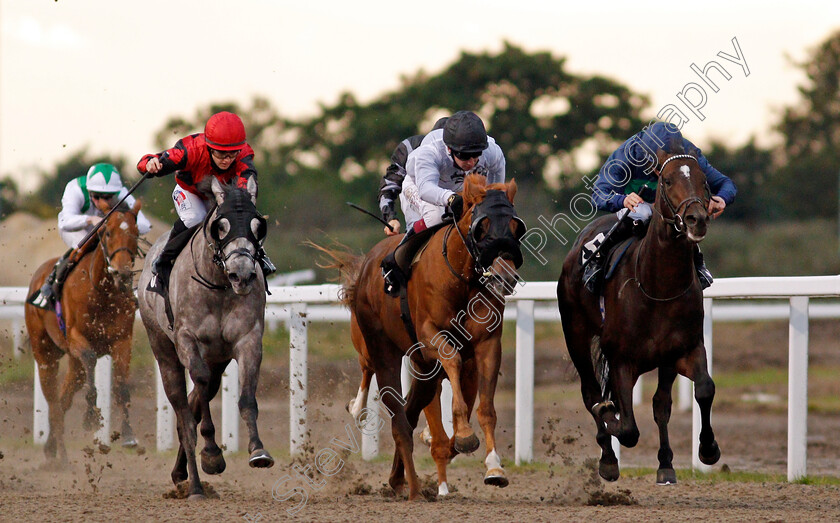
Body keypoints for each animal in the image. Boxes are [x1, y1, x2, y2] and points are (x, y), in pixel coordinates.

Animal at [24, 199, 143, 460]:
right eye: (107, 232)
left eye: (136, 233)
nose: (122, 273)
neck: (101, 293)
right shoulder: (77, 339)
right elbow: (90, 363)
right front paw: (90, 418)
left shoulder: (123, 341)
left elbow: (122, 387)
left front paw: (129, 435)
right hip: (45, 353)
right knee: (54, 401)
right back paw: (61, 458)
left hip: (72, 362)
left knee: (64, 397)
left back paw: (52, 448)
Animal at [139, 176, 274, 500]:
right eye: (220, 225)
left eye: (257, 226)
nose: (242, 275)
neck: (218, 285)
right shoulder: (187, 340)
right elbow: (197, 388)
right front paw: (212, 454)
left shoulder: (248, 340)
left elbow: (246, 397)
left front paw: (258, 451)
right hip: (163, 350)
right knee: (183, 411)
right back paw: (196, 487)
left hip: (218, 360)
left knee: (193, 408)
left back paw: (181, 474)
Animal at [318, 175, 520, 500]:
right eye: (482, 227)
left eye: (515, 226)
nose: (506, 277)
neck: (461, 280)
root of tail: (367, 264)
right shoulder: (429, 337)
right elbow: (451, 362)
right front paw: (464, 435)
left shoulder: (487, 345)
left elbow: (485, 408)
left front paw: (494, 467)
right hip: (382, 348)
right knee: (394, 412)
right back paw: (411, 485)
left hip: (423, 368)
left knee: (410, 412)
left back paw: (398, 478)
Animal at [556, 149, 720, 486]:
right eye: (666, 180)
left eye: (705, 181)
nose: (697, 219)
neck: (657, 287)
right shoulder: (621, 359)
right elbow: (627, 426)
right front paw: (610, 420)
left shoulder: (684, 349)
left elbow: (700, 390)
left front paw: (704, 450)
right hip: (576, 336)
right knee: (591, 394)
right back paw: (607, 458)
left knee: (659, 404)